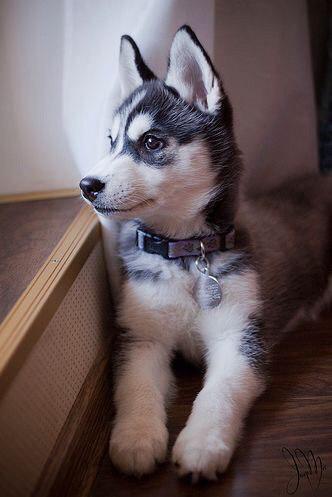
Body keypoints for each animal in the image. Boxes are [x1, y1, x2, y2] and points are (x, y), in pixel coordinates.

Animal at [80, 26, 332, 480]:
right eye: (110, 142)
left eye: (151, 142)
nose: (86, 185)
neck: (185, 254)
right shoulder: (140, 337)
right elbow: (134, 387)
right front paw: (136, 438)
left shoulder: (240, 339)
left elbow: (219, 394)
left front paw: (202, 444)